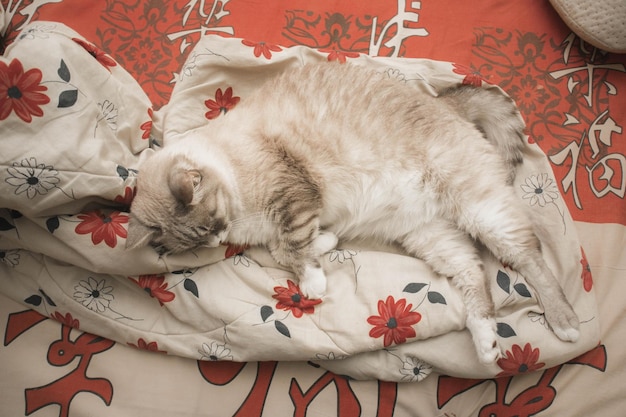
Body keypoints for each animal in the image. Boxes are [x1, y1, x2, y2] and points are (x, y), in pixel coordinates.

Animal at [124, 62, 576, 364]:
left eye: (211, 222)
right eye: (199, 240)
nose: (218, 238)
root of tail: (445, 104)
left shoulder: (295, 194)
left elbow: (294, 247)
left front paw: (313, 281)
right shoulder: (284, 223)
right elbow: (288, 249)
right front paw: (324, 247)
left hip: (481, 211)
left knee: (531, 260)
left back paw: (564, 322)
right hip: (429, 235)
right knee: (473, 272)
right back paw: (486, 342)